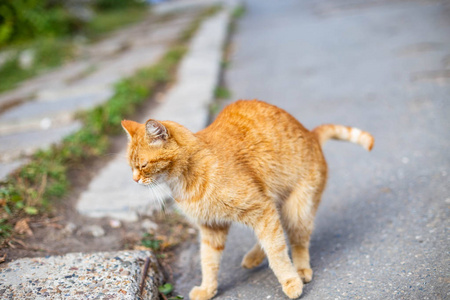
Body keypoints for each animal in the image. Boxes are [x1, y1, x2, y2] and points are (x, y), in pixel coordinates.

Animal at [121, 101, 374, 300]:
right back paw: (254, 257)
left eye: (143, 165)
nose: (134, 179)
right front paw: (207, 290)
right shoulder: (212, 227)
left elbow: (277, 253)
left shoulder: (260, 209)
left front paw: (290, 282)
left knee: (296, 240)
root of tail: (310, 133)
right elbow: (208, 262)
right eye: (131, 166)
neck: (188, 178)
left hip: (297, 210)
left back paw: (300, 271)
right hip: (277, 205)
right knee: (276, 233)